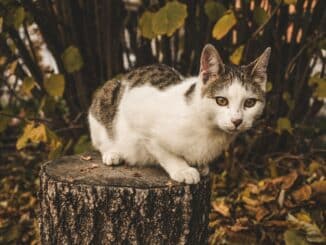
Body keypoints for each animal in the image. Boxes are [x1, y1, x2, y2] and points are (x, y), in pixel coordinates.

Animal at [88, 44, 270, 184]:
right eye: (221, 101)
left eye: (250, 103)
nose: (237, 120)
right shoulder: (141, 123)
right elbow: (165, 152)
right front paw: (183, 170)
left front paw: (199, 165)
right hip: (106, 98)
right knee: (101, 140)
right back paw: (112, 153)